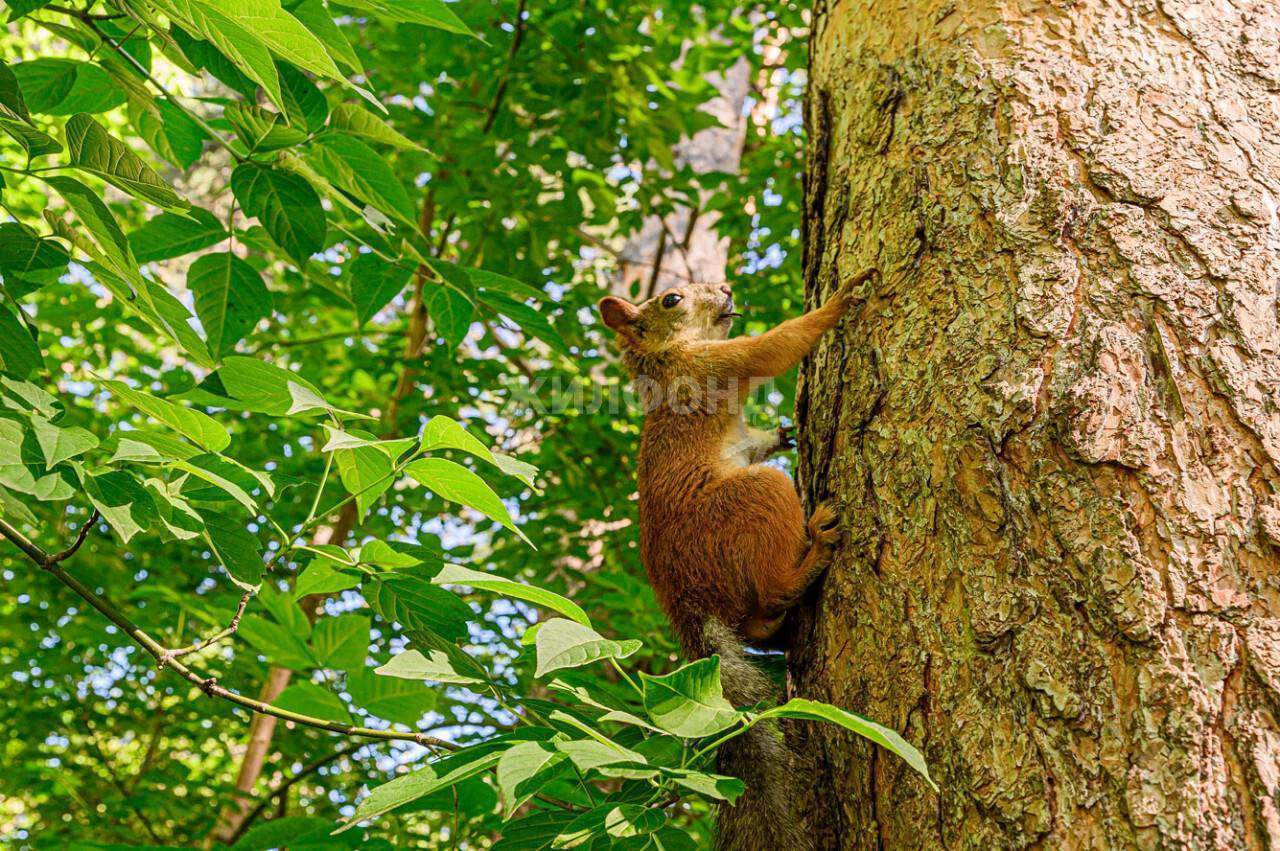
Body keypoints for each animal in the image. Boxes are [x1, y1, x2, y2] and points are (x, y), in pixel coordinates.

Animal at [596, 272, 870, 849]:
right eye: (671, 299)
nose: (724, 287)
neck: (669, 355)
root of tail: (688, 604)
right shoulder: (714, 366)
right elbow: (775, 347)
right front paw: (838, 302)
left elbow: (757, 439)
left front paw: (783, 433)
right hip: (752, 500)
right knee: (772, 588)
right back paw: (813, 554)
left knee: (757, 622)